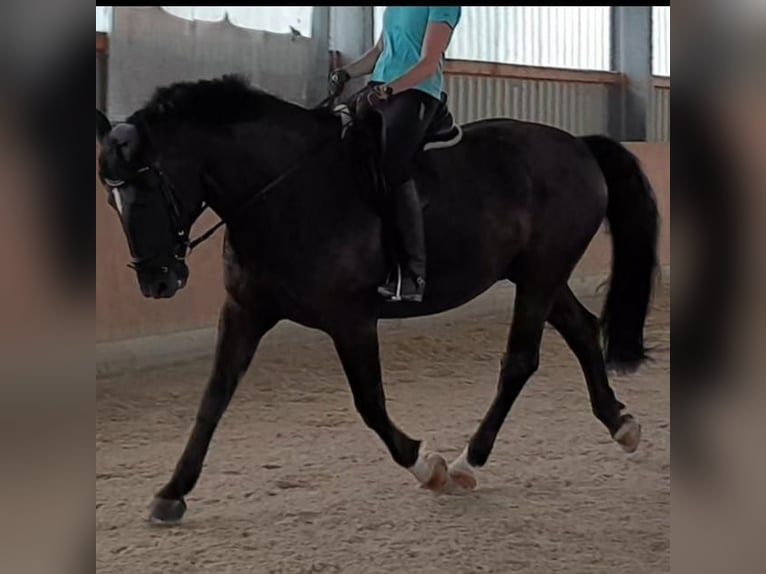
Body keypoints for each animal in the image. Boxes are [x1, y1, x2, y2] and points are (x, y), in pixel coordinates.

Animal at [95, 75, 659, 524]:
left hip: (541, 275)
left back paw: (466, 461)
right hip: (539, 275)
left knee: (520, 360)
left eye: (145, 189)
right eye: (112, 198)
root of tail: (578, 145)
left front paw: (426, 466)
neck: (287, 191)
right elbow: (213, 399)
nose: (158, 281)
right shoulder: (245, 311)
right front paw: (171, 493)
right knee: (582, 329)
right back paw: (620, 424)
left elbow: (369, 402)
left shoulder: (352, 320)